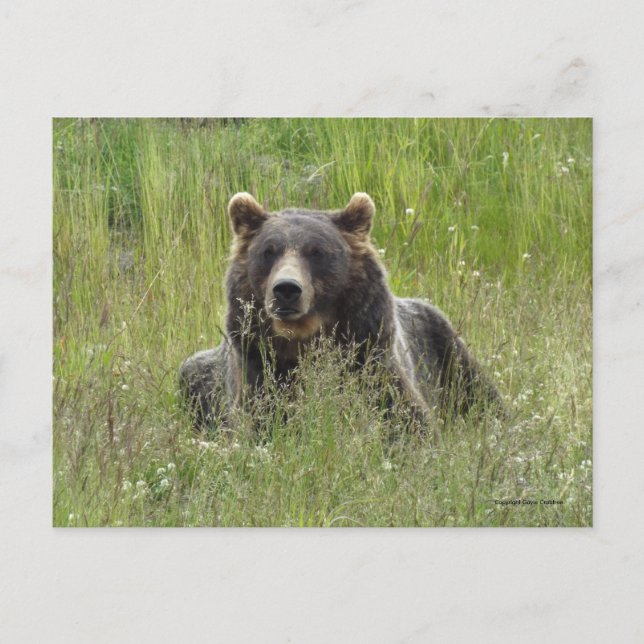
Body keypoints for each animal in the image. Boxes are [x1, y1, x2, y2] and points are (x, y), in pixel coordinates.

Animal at [179, 192, 501, 435]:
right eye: (268, 251)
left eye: (316, 252)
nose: (286, 289)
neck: (302, 339)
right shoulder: (258, 368)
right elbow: (259, 421)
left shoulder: (370, 357)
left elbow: (405, 420)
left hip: (444, 347)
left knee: (480, 394)